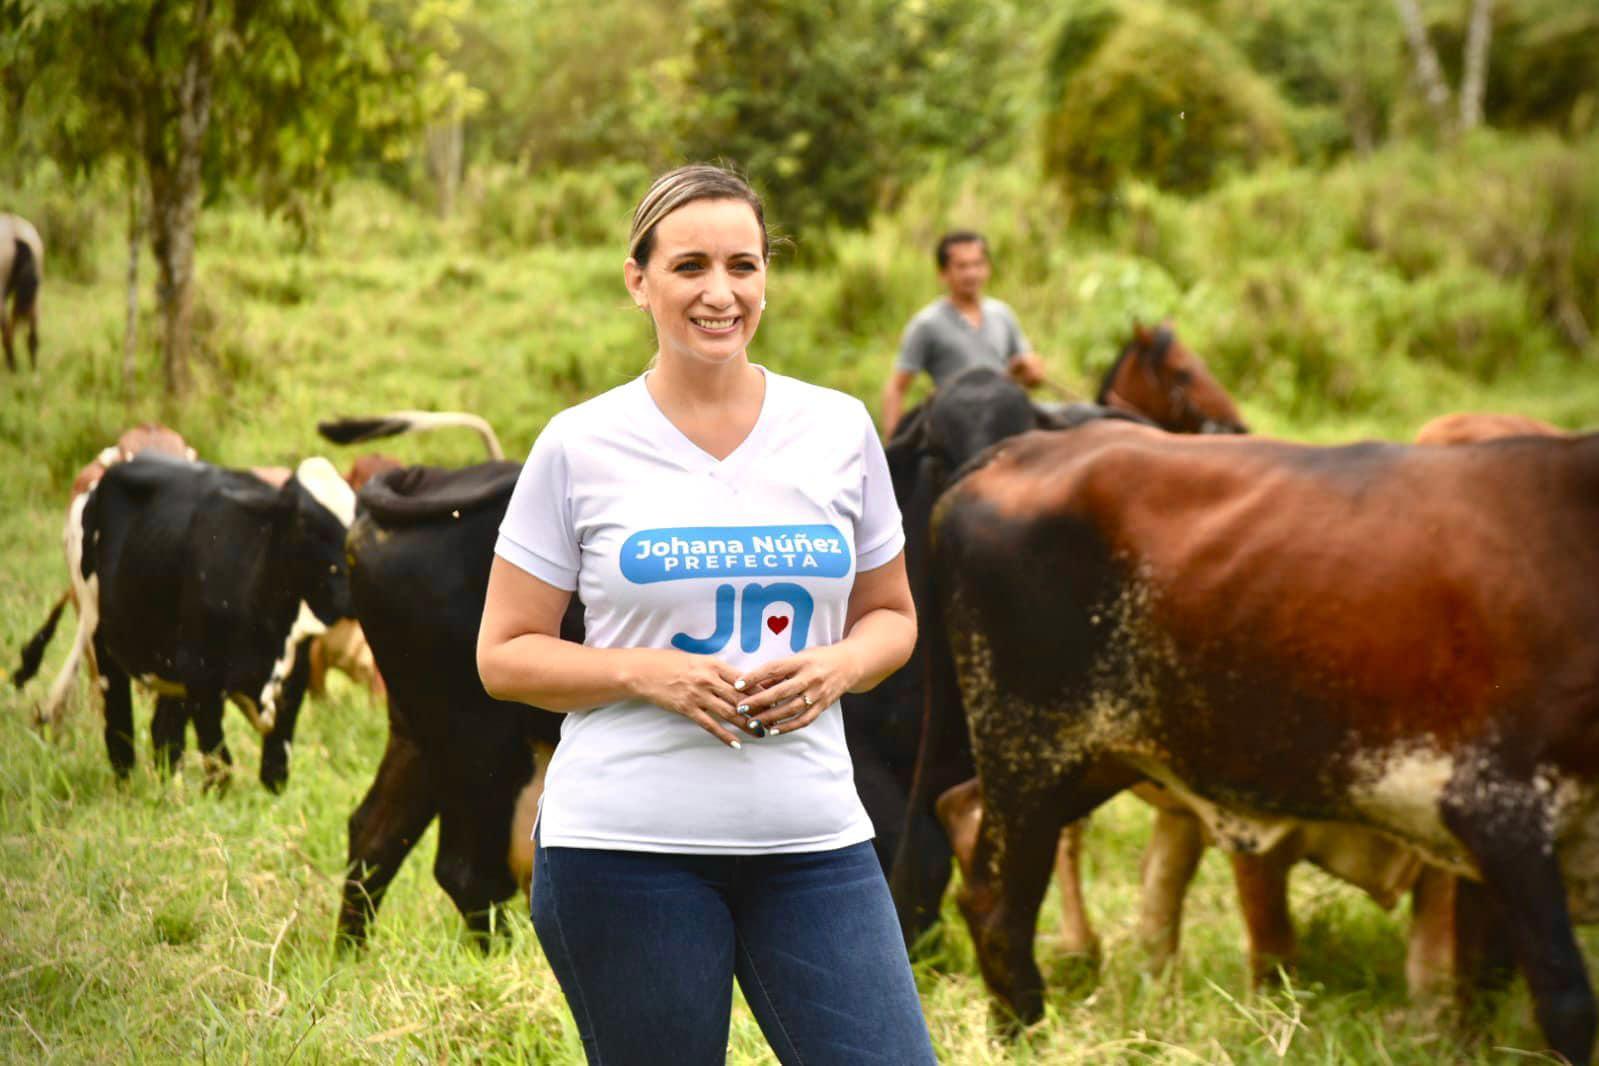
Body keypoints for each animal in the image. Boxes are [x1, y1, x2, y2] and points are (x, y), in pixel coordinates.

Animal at [59, 453, 356, 789]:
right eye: (305, 523)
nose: (353, 593)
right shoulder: (202, 679)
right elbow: (220, 766)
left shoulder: (294, 678)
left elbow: (275, 771)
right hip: (102, 639)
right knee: (120, 729)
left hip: (168, 665)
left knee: (165, 735)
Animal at [933, 421, 1599, 1061]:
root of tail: (1026, 447)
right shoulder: (1499, 812)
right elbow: (1565, 1000)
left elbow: (1478, 982)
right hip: (1029, 751)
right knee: (997, 902)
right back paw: (1023, 1036)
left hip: (1094, 756)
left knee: (963, 813)